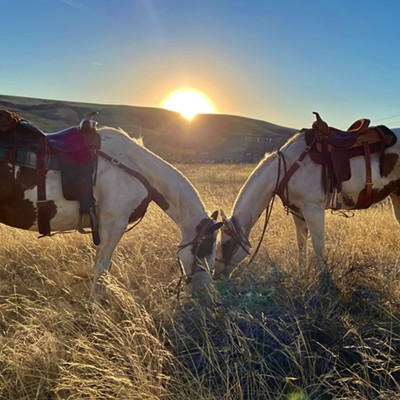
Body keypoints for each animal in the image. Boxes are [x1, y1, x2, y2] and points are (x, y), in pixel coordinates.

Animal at [0, 115, 222, 304]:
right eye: (205, 247)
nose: (203, 291)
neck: (136, 168)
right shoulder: (113, 224)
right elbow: (102, 268)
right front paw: (95, 307)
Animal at [219, 112, 400, 276]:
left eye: (225, 245)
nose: (217, 275)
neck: (287, 167)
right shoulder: (297, 212)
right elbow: (301, 243)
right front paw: (302, 273)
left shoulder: (313, 209)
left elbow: (318, 246)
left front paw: (324, 279)